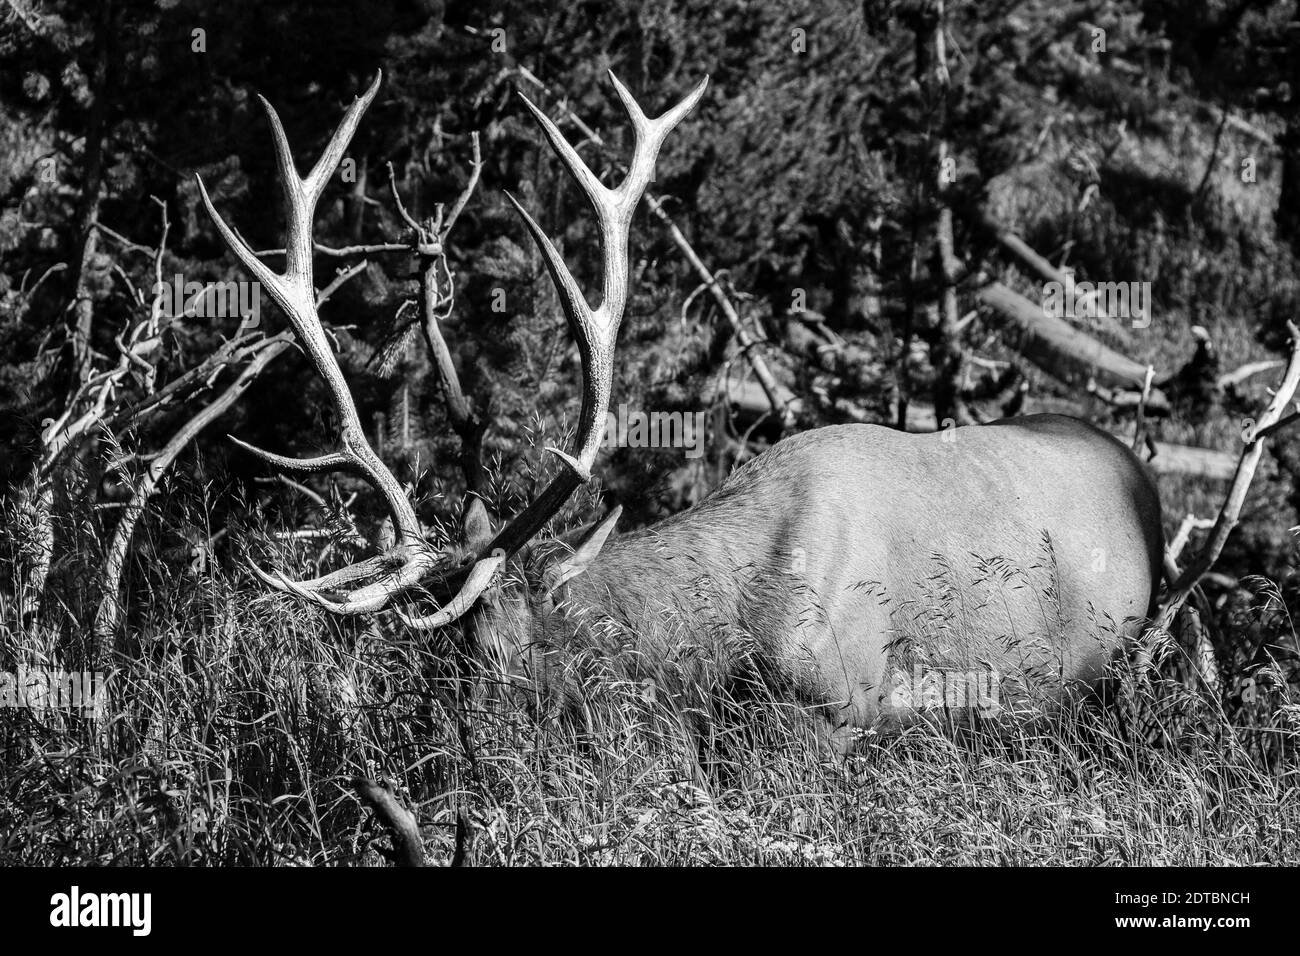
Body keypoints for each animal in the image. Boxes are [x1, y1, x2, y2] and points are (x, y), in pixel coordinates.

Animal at [205, 72, 1170, 749]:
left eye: (510, 654)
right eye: (445, 658)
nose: (459, 753)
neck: (728, 637)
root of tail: (1138, 469)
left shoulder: (841, 710)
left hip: (1109, 670)